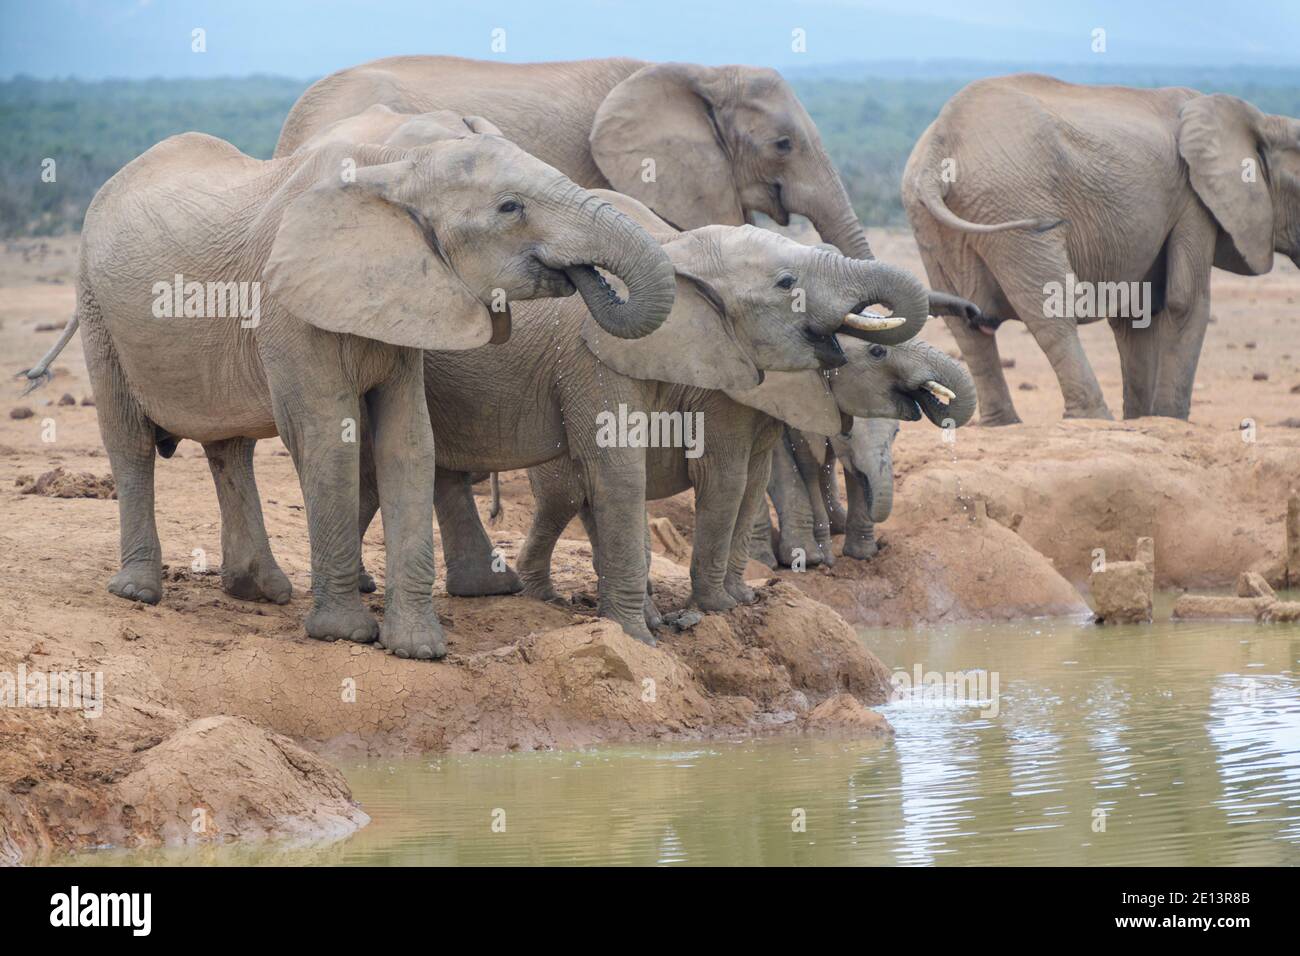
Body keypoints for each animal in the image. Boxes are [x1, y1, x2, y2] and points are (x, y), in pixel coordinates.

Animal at [74, 114, 677, 661]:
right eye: (510, 208)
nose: (588, 278)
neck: (395, 168)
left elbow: (409, 442)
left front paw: (417, 648)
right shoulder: (288, 306)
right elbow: (327, 438)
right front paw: (344, 634)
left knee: (230, 448)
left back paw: (260, 590)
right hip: (95, 306)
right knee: (128, 440)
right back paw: (138, 592)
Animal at [903, 73, 1300, 424]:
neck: (1260, 121)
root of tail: (940, 144)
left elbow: (1137, 314)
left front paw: (1141, 418)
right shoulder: (1193, 199)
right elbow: (1185, 302)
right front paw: (1170, 420)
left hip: (930, 221)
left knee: (967, 324)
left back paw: (1002, 424)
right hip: (1012, 199)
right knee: (1050, 308)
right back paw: (1092, 418)